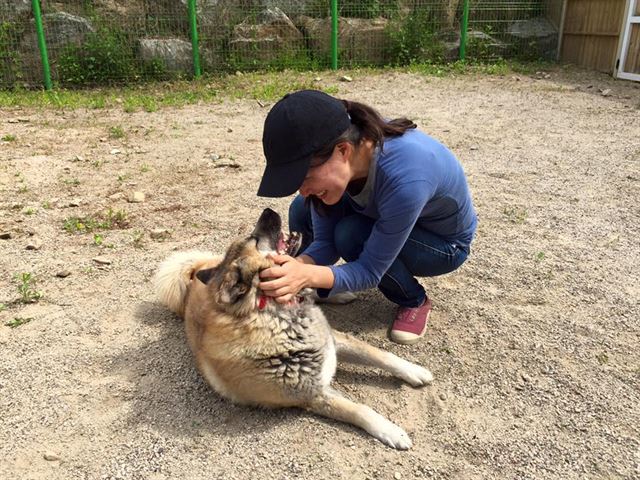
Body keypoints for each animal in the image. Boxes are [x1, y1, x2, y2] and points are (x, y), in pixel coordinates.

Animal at [155, 208, 436, 448]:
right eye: (254, 240)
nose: (268, 209)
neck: (276, 316)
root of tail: (195, 276)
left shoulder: (335, 339)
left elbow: (380, 355)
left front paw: (413, 370)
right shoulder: (313, 395)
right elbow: (359, 410)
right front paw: (391, 431)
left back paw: (338, 294)